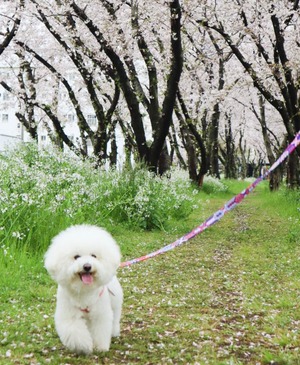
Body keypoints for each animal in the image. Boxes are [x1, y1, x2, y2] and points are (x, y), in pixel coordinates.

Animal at [44, 222, 123, 352]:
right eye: (76, 257)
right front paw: (84, 346)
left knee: (115, 317)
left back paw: (114, 331)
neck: (83, 290)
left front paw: (100, 347)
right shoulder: (69, 315)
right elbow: (75, 332)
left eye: (94, 256)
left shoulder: (100, 314)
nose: (87, 266)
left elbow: (101, 330)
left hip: (115, 302)